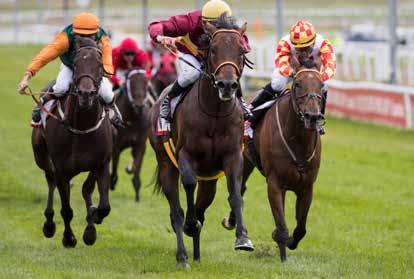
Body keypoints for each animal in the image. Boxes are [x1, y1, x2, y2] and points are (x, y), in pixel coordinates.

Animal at [30, 36, 112, 248]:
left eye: (99, 65)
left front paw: (92, 223)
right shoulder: (61, 170)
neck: (82, 126)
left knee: (86, 190)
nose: (86, 94)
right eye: (75, 63)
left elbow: (103, 205)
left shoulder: (101, 163)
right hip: (41, 157)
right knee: (50, 181)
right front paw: (68, 238)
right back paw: (49, 223)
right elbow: (66, 210)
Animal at [111, 68, 150, 202]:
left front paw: (137, 197)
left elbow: (136, 168)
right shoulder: (116, 146)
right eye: (131, 84)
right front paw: (112, 183)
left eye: (145, 83)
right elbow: (114, 169)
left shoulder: (140, 145)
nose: (139, 105)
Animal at [147, 17, 254, 270]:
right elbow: (188, 184)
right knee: (176, 211)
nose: (227, 85)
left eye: (241, 50)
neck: (214, 114)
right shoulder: (186, 155)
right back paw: (183, 255)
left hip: (210, 180)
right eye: (213, 49)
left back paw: (195, 252)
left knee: (203, 207)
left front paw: (243, 238)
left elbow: (236, 194)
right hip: (166, 165)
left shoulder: (232, 156)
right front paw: (190, 224)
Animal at [222, 60, 326, 262]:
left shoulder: (306, 187)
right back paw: (231, 221)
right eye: (297, 84)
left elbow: (301, 228)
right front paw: (283, 257)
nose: (312, 116)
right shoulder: (275, 184)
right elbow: (282, 228)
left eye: (322, 86)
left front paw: (291, 241)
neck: (298, 143)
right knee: (239, 187)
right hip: (245, 159)